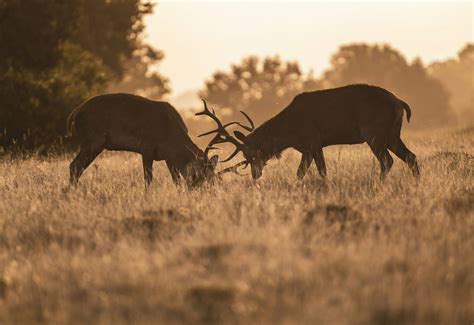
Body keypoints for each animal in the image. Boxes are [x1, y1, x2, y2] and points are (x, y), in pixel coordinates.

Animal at [66, 92, 241, 187]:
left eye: (214, 178)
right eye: (198, 176)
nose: (204, 191)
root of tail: (75, 112)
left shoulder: (168, 157)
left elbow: (176, 180)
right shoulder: (147, 147)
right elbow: (148, 179)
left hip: (93, 144)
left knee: (77, 167)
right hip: (92, 142)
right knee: (74, 166)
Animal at [198, 83, 420, 180]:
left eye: (249, 153)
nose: (255, 175)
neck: (289, 133)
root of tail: (400, 103)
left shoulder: (313, 141)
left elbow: (321, 171)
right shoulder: (306, 148)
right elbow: (300, 172)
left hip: (374, 133)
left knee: (387, 161)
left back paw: (378, 184)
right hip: (392, 135)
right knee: (411, 157)